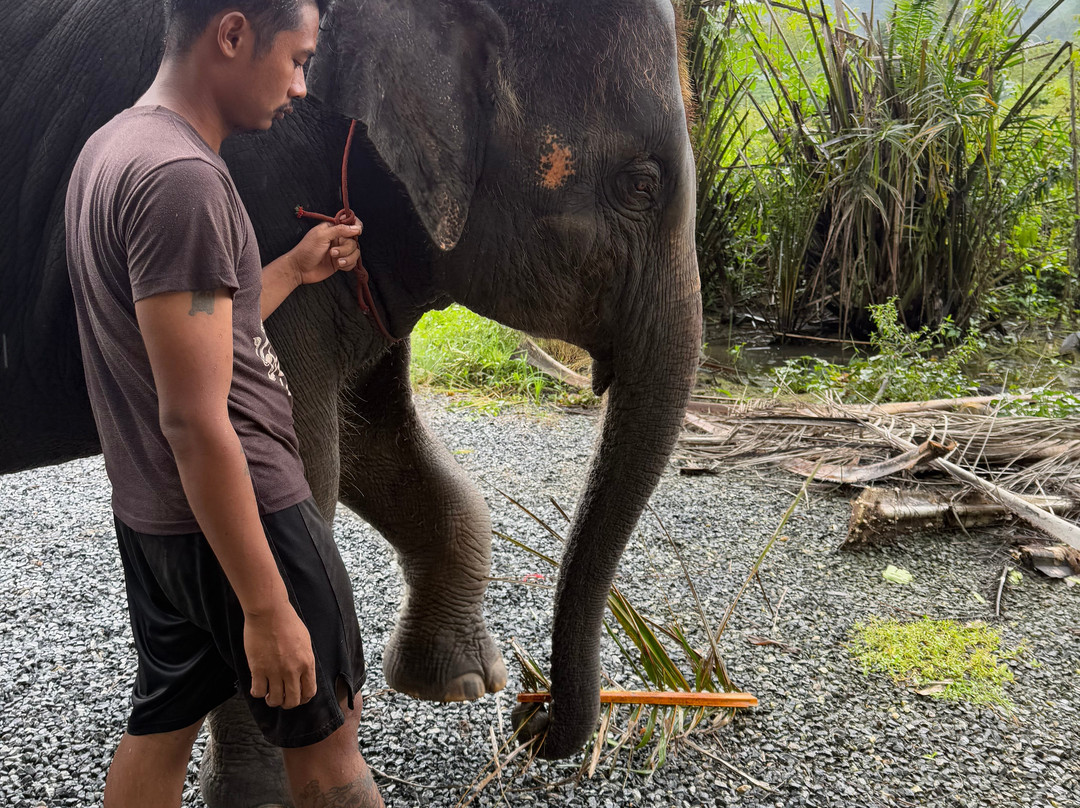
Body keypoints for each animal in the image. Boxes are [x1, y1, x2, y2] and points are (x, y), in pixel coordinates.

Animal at [0, 0, 701, 803]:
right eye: (640, 183)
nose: (531, 716)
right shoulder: (257, 200)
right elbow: (293, 460)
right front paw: (265, 792)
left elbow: (370, 444)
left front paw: (462, 685)